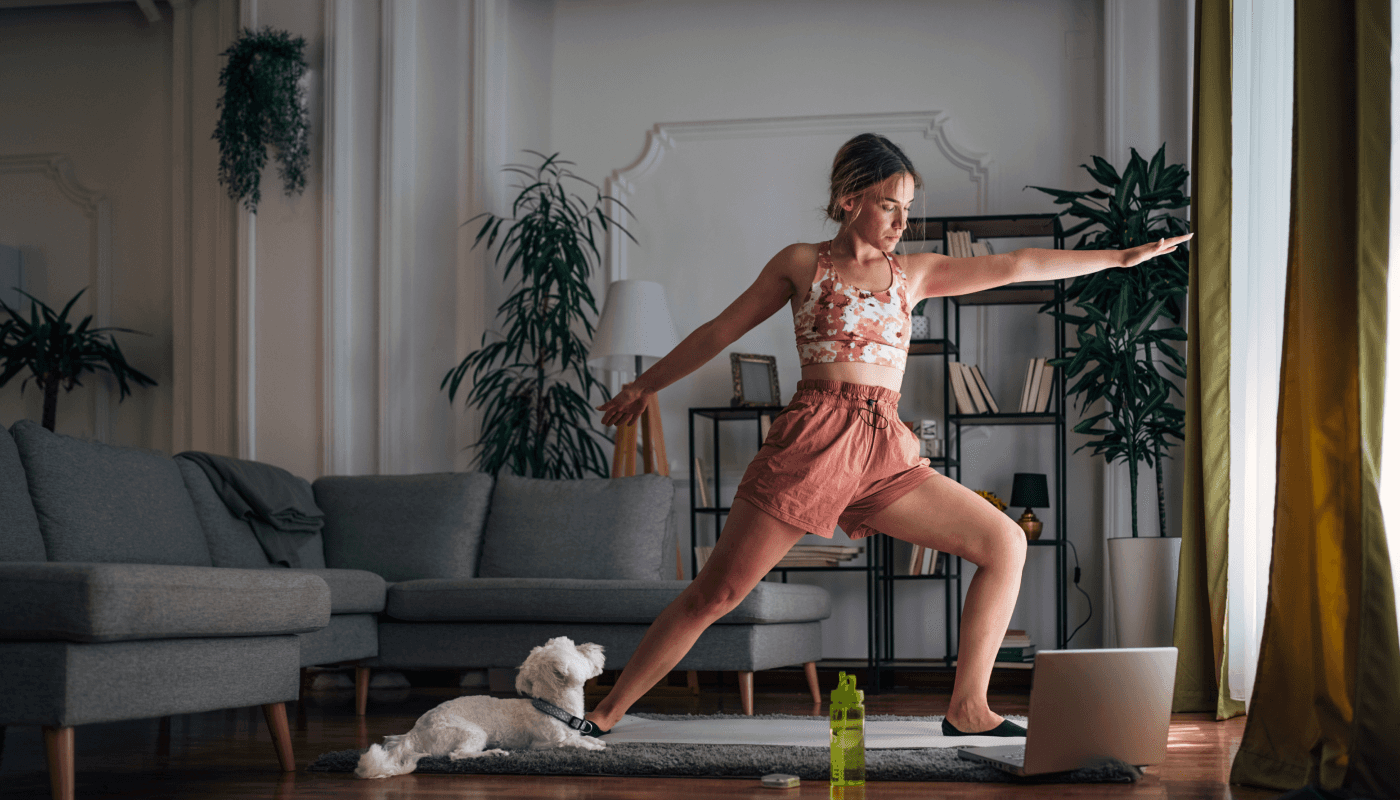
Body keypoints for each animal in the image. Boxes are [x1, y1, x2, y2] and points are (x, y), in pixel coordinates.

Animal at [352, 636, 604, 778]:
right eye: (577, 649)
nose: (595, 646)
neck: (551, 706)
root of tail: (415, 733)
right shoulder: (543, 744)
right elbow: (571, 743)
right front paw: (592, 748)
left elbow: (581, 738)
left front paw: (595, 742)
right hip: (471, 731)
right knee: (458, 755)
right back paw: (492, 753)